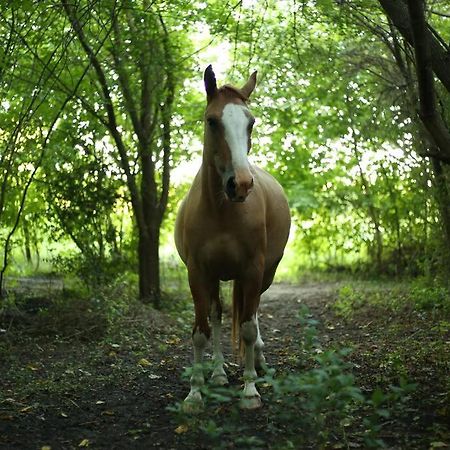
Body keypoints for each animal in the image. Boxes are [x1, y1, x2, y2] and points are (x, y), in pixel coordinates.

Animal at [174, 66, 290, 412]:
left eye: (250, 122)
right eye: (212, 121)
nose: (240, 184)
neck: (222, 212)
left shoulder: (253, 270)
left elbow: (249, 329)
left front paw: (250, 390)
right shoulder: (198, 273)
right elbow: (201, 331)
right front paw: (195, 392)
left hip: (265, 275)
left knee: (255, 313)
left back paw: (259, 361)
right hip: (215, 278)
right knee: (217, 316)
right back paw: (217, 373)